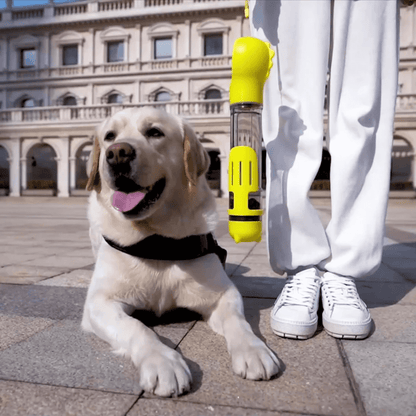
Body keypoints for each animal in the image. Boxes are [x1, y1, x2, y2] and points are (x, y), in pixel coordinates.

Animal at [81, 106, 280, 396]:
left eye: (154, 132)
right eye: (109, 136)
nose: (117, 153)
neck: (156, 241)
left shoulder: (223, 294)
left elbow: (238, 321)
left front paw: (254, 350)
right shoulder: (99, 303)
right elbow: (137, 327)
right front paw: (162, 362)